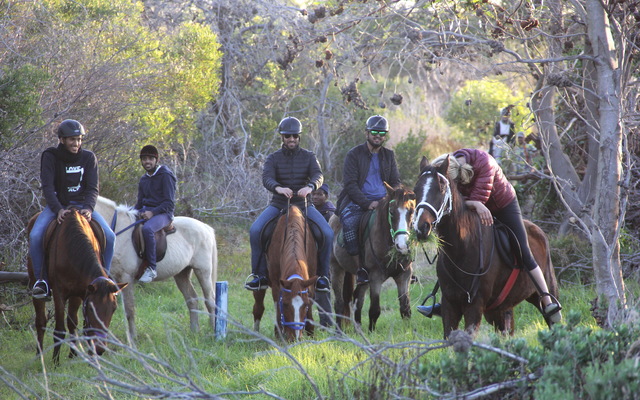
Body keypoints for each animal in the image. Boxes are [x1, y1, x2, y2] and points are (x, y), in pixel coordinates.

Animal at [26, 209, 127, 364]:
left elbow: (74, 323)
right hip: (34, 284)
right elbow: (60, 329)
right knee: (40, 321)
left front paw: (74, 356)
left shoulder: (80, 292)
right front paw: (56, 362)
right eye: (91, 309)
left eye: (114, 309)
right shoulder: (59, 294)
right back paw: (39, 355)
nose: (100, 349)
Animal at [94, 196, 217, 340]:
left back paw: (213, 331)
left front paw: (132, 338)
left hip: (203, 271)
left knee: (210, 300)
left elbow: (129, 310)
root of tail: (205, 227)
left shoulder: (126, 277)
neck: (116, 229)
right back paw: (194, 331)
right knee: (192, 299)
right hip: (182, 273)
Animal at [330, 183, 416, 331]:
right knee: (339, 303)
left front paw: (408, 332)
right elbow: (375, 310)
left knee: (358, 297)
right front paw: (371, 332)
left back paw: (358, 328)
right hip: (336, 269)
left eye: (411, 211)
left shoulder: (404, 275)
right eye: (391, 212)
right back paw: (339, 332)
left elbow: (405, 309)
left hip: (362, 278)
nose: (403, 246)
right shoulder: (376, 277)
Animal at [412, 156, 559, 338]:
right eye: (415, 190)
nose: (421, 227)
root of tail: (539, 232)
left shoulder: (474, 307)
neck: (462, 249)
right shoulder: (449, 305)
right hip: (499, 311)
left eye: (441, 188)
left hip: (543, 294)